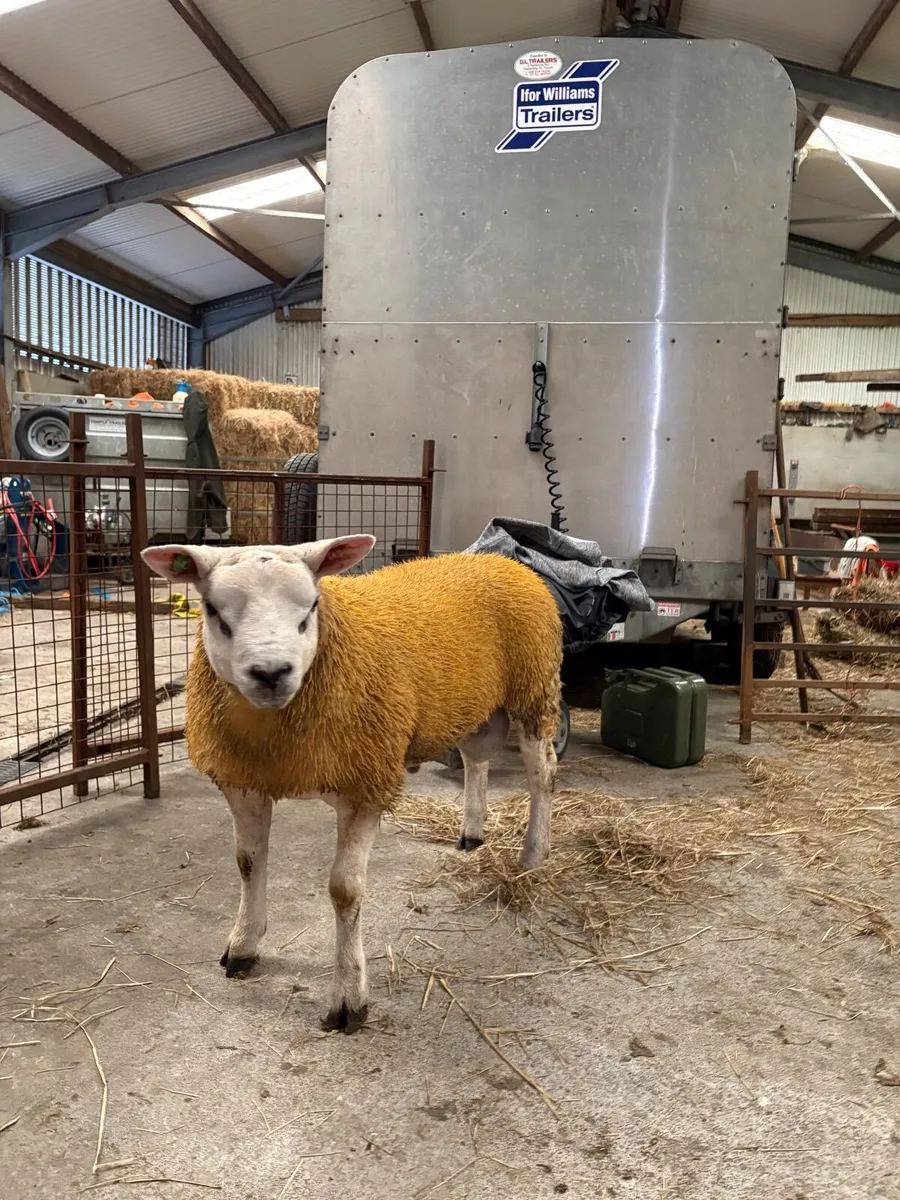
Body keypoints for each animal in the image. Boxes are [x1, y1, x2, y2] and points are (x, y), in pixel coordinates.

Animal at [142, 537, 563, 1033]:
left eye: (311, 606)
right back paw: (472, 831)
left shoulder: (365, 782)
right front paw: (244, 944)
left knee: (542, 772)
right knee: (475, 759)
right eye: (211, 609)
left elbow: (344, 889)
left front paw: (349, 997)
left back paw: (533, 855)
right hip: (471, 703)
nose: (271, 673)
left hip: (534, 687)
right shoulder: (243, 780)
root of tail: (499, 560)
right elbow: (248, 863)